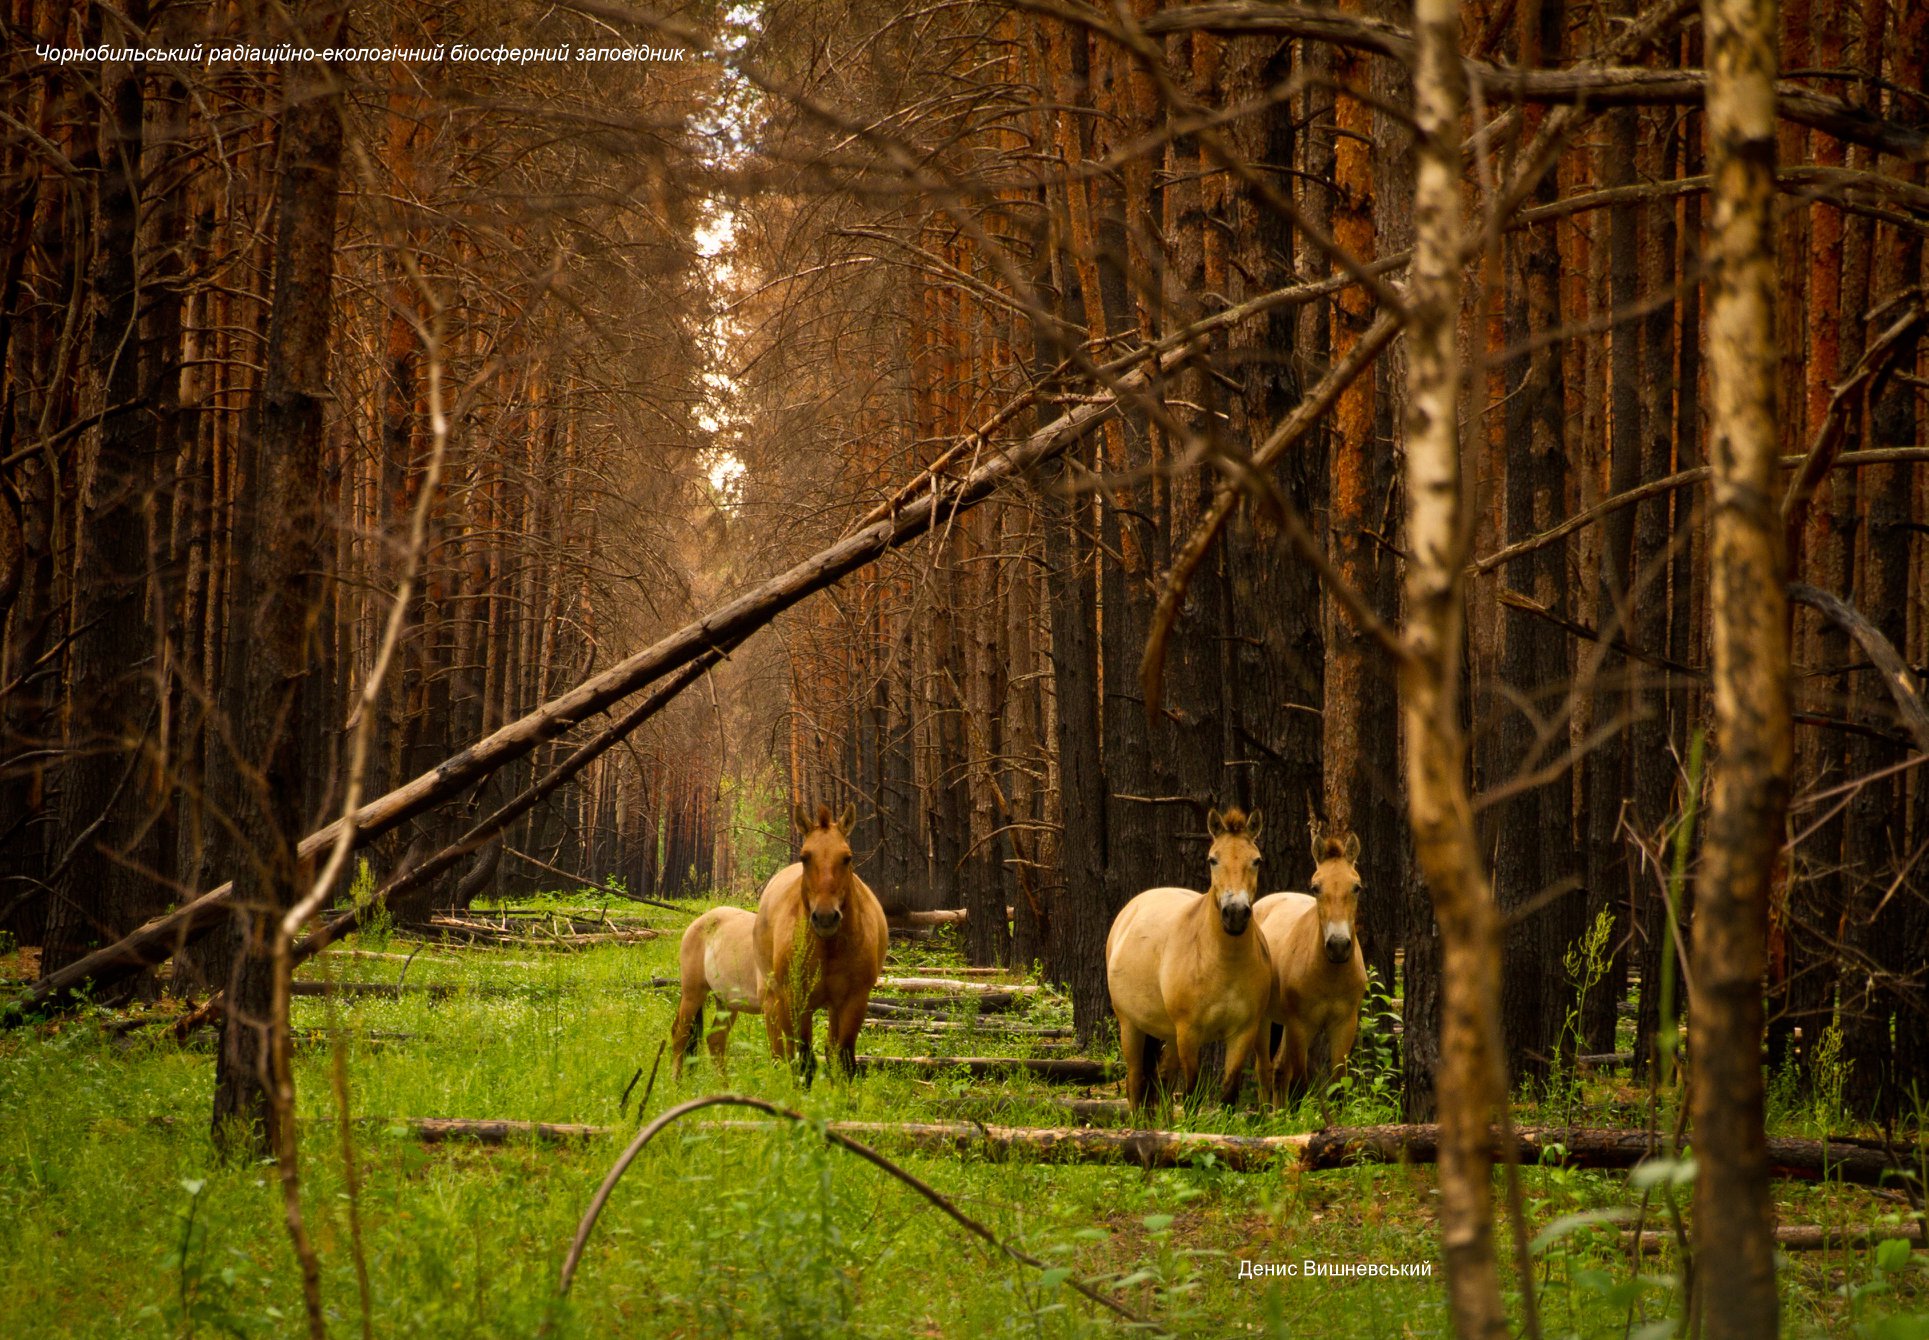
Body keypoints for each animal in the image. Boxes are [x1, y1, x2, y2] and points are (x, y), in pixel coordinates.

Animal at [752, 802, 887, 1087]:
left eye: (847, 857)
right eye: (805, 857)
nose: (825, 917)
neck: (828, 947)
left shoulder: (854, 1000)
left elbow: (843, 1058)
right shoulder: (795, 999)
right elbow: (803, 1059)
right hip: (772, 998)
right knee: (780, 1050)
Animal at [1111, 805, 1273, 1110]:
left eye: (1256, 860)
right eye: (1213, 860)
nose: (1235, 913)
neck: (1223, 962)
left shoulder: (1242, 1033)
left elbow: (1229, 1094)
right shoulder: (1189, 1032)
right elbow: (1192, 1094)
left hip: (1167, 1033)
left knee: (1162, 1082)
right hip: (1131, 1027)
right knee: (1135, 1083)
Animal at [1257, 813, 1365, 1102]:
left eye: (1356, 887)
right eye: (1316, 887)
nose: (1338, 946)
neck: (1330, 974)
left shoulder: (1344, 1024)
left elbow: (1339, 1084)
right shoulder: (1300, 1025)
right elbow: (1299, 1082)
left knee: (1278, 1069)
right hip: (1264, 1020)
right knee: (1265, 1071)